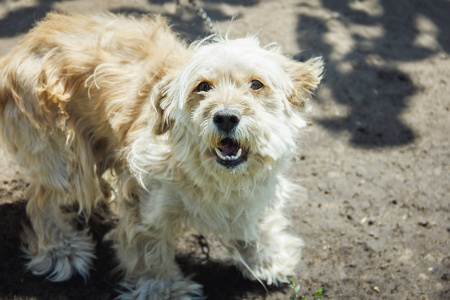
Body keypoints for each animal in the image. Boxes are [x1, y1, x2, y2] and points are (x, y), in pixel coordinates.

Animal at [0, 12, 324, 300]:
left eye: (257, 84)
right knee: (40, 203)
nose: (226, 117)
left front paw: (265, 259)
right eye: (203, 86)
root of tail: (18, 50)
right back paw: (61, 250)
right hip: (66, 160)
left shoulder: (255, 192)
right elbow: (149, 251)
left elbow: (259, 223)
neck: (212, 177)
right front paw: (164, 290)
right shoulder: (142, 201)